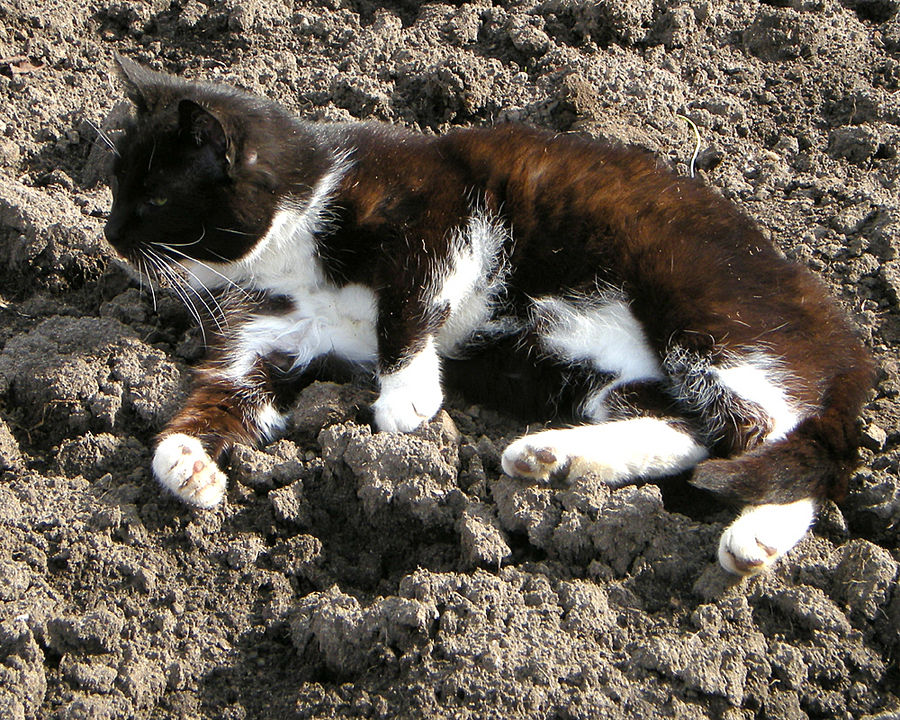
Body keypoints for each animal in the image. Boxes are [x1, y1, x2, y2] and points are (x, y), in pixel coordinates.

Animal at [103, 54, 872, 572]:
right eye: (114, 185)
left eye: (154, 199)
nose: (108, 235)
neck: (292, 234)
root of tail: (845, 337)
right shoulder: (265, 330)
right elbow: (222, 392)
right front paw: (186, 462)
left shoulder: (445, 208)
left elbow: (409, 299)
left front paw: (406, 398)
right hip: (605, 377)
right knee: (697, 434)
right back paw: (554, 456)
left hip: (707, 310)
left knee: (799, 442)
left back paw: (757, 532)